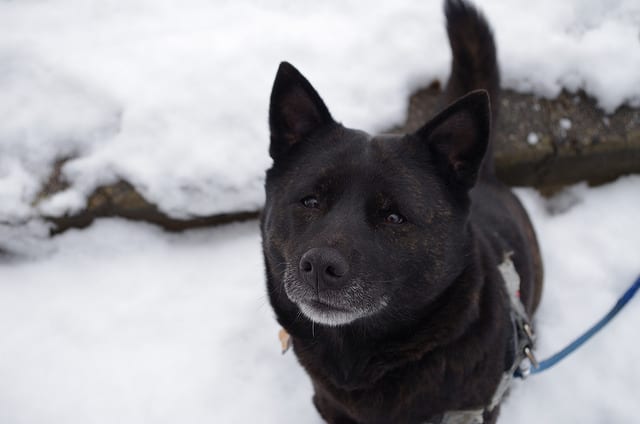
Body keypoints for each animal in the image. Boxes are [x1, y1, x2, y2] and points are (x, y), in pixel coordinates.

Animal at [262, 1, 544, 422]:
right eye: (310, 200)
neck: (360, 362)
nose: (320, 267)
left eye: (394, 217)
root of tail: (485, 174)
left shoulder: (472, 411)